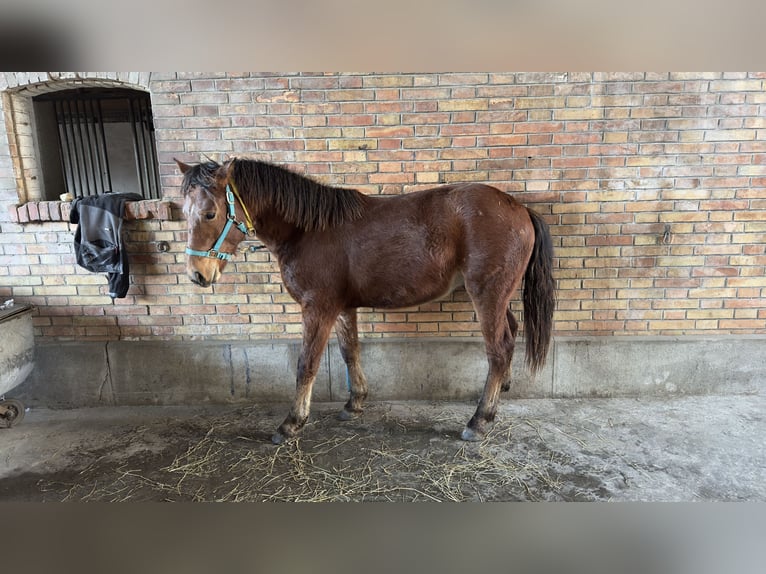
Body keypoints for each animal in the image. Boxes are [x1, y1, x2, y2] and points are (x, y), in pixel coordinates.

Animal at [177, 158, 556, 446]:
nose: (197, 274)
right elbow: (350, 352)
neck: (307, 231)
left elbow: (306, 364)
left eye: (210, 213)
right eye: (183, 212)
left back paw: (479, 419)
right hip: (499, 296)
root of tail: (519, 208)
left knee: (498, 348)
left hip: (487, 295)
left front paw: (292, 422)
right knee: (510, 333)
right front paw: (354, 403)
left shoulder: (318, 308)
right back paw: (501, 389)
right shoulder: (342, 307)